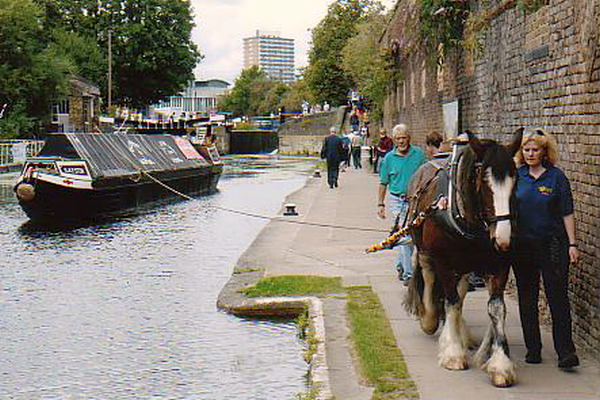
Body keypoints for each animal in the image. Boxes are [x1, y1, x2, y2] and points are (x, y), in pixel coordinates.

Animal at [406, 130, 524, 388]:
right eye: (483, 182)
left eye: (516, 180)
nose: (504, 238)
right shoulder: (444, 262)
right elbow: (450, 302)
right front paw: (452, 353)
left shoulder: (499, 264)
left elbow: (496, 308)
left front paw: (500, 364)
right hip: (425, 249)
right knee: (429, 277)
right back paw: (430, 319)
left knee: (460, 293)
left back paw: (463, 335)